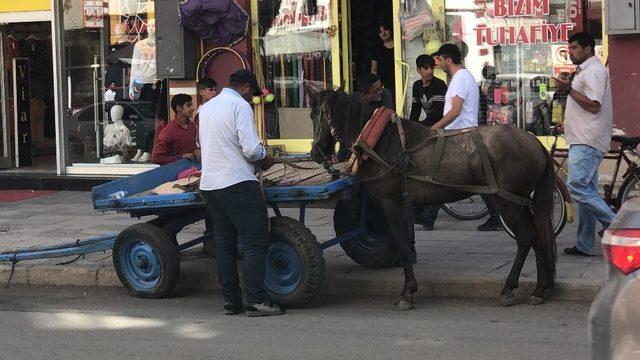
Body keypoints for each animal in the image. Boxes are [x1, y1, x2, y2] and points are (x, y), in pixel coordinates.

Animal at [308, 88, 556, 310]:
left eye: (315, 114)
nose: (315, 152)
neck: (381, 142)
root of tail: (536, 143)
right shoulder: (403, 203)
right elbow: (406, 241)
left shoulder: (392, 202)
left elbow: (402, 244)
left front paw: (407, 292)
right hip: (521, 201)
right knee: (537, 237)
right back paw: (540, 289)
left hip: (508, 201)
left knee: (525, 237)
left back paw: (509, 288)